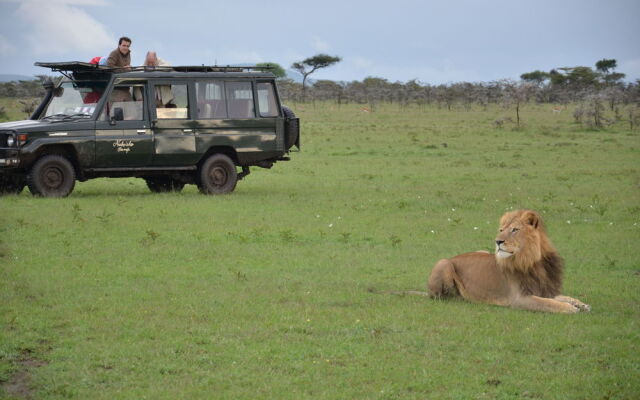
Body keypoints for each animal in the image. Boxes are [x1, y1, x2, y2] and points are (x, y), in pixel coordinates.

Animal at [424, 209, 592, 312]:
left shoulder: (545, 289)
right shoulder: (520, 299)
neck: (532, 261)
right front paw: (570, 308)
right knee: (443, 296)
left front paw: (581, 304)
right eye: (501, 230)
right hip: (443, 262)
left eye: (514, 230)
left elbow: (563, 297)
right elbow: (548, 303)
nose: (497, 241)